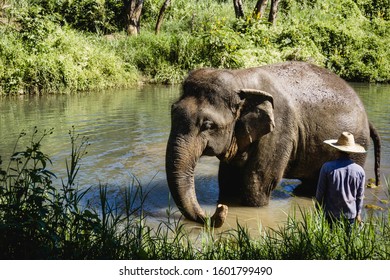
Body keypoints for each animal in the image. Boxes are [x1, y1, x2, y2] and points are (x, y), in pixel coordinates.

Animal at [165, 61, 380, 228]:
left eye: (208, 125)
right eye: (172, 112)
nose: (218, 211)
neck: (240, 80)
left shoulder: (280, 130)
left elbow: (257, 182)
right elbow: (227, 179)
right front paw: (227, 201)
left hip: (357, 147)